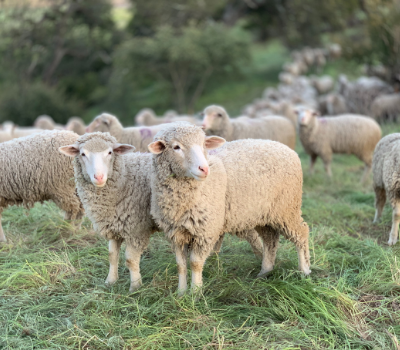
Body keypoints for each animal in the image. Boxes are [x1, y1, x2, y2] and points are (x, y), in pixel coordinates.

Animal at [59, 133, 264, 292]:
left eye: (110, 153)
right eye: (83, 154)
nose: (99, 177)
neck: (124, 178)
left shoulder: (136, 229)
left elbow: (130, 260)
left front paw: (135, 286)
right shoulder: (114, 226)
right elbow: (112, 255)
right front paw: (110, 281)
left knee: (253, 237)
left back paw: (261, 261)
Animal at [148, 121, 310, 294]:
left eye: (204, 144)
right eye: (176, 147)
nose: (204, 169)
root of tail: (287, 149)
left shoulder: (206, 230)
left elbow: (195, 263)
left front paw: (195, 292)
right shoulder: (175, 233)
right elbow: (181, 265)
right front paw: (181, 292)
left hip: (287, 208)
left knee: (301, 233)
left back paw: (304, 270)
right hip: (263, 213)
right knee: (270, 239)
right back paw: (265, 271)